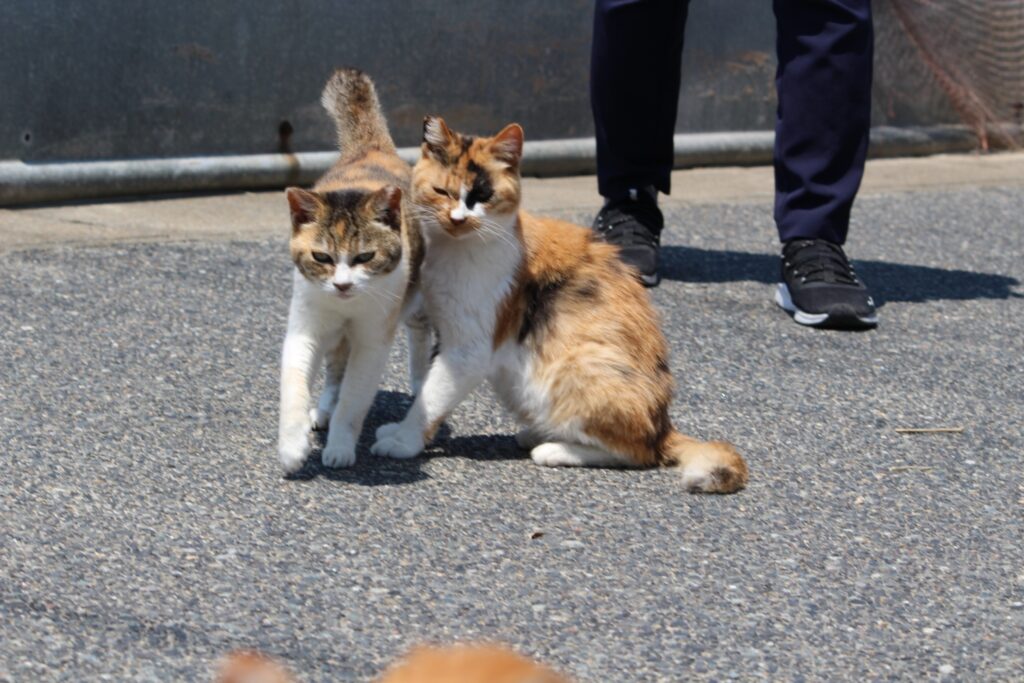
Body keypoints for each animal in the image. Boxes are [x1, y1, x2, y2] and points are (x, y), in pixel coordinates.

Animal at [276, 70, 428, 475]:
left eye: (365, 256)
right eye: (322, 257)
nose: (343, 284)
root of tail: (371, 147)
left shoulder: (373, 342)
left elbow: (354, 401)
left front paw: (341, 447)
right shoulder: (305, 328)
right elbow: (295, 386)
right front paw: (292, 446)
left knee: (420, 345)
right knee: (334, 369)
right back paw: (323, 408)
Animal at [372, 116, 749, 491]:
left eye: (484, 195)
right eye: (442, 192)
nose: (458, 218)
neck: (456, 248)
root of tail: (663, 426)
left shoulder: (468, 349)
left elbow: (432, 394)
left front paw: (404, 440)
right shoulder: (440, 328)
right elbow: (425, 384)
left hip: (576, 367)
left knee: (637, 452)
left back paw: (552, 448)